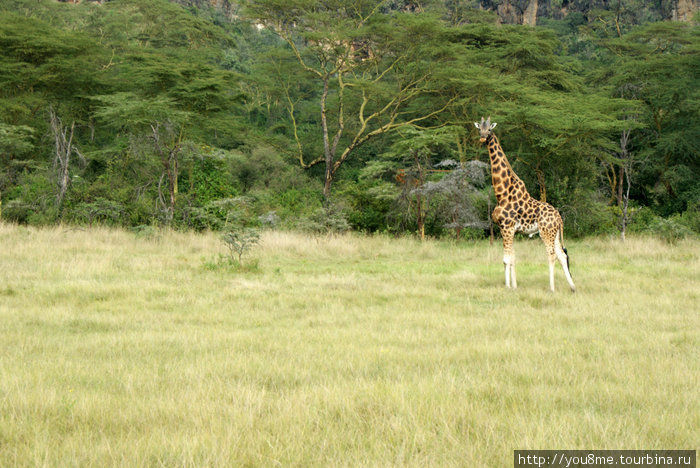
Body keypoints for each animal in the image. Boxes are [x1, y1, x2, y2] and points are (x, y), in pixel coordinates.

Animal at [476, 117, 576, 292]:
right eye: (479, 129)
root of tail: (559, 217)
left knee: (551, 255)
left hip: (546, 232)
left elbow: (506, 259)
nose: (482, 137)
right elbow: (511, 257)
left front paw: (508, 287)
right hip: (555, 233)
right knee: (562, 255)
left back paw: (552, 288)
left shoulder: (507, 227)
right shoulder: (507, 229)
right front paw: (514, 285)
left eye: (489, 129)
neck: (502, 193)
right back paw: (572, 287)